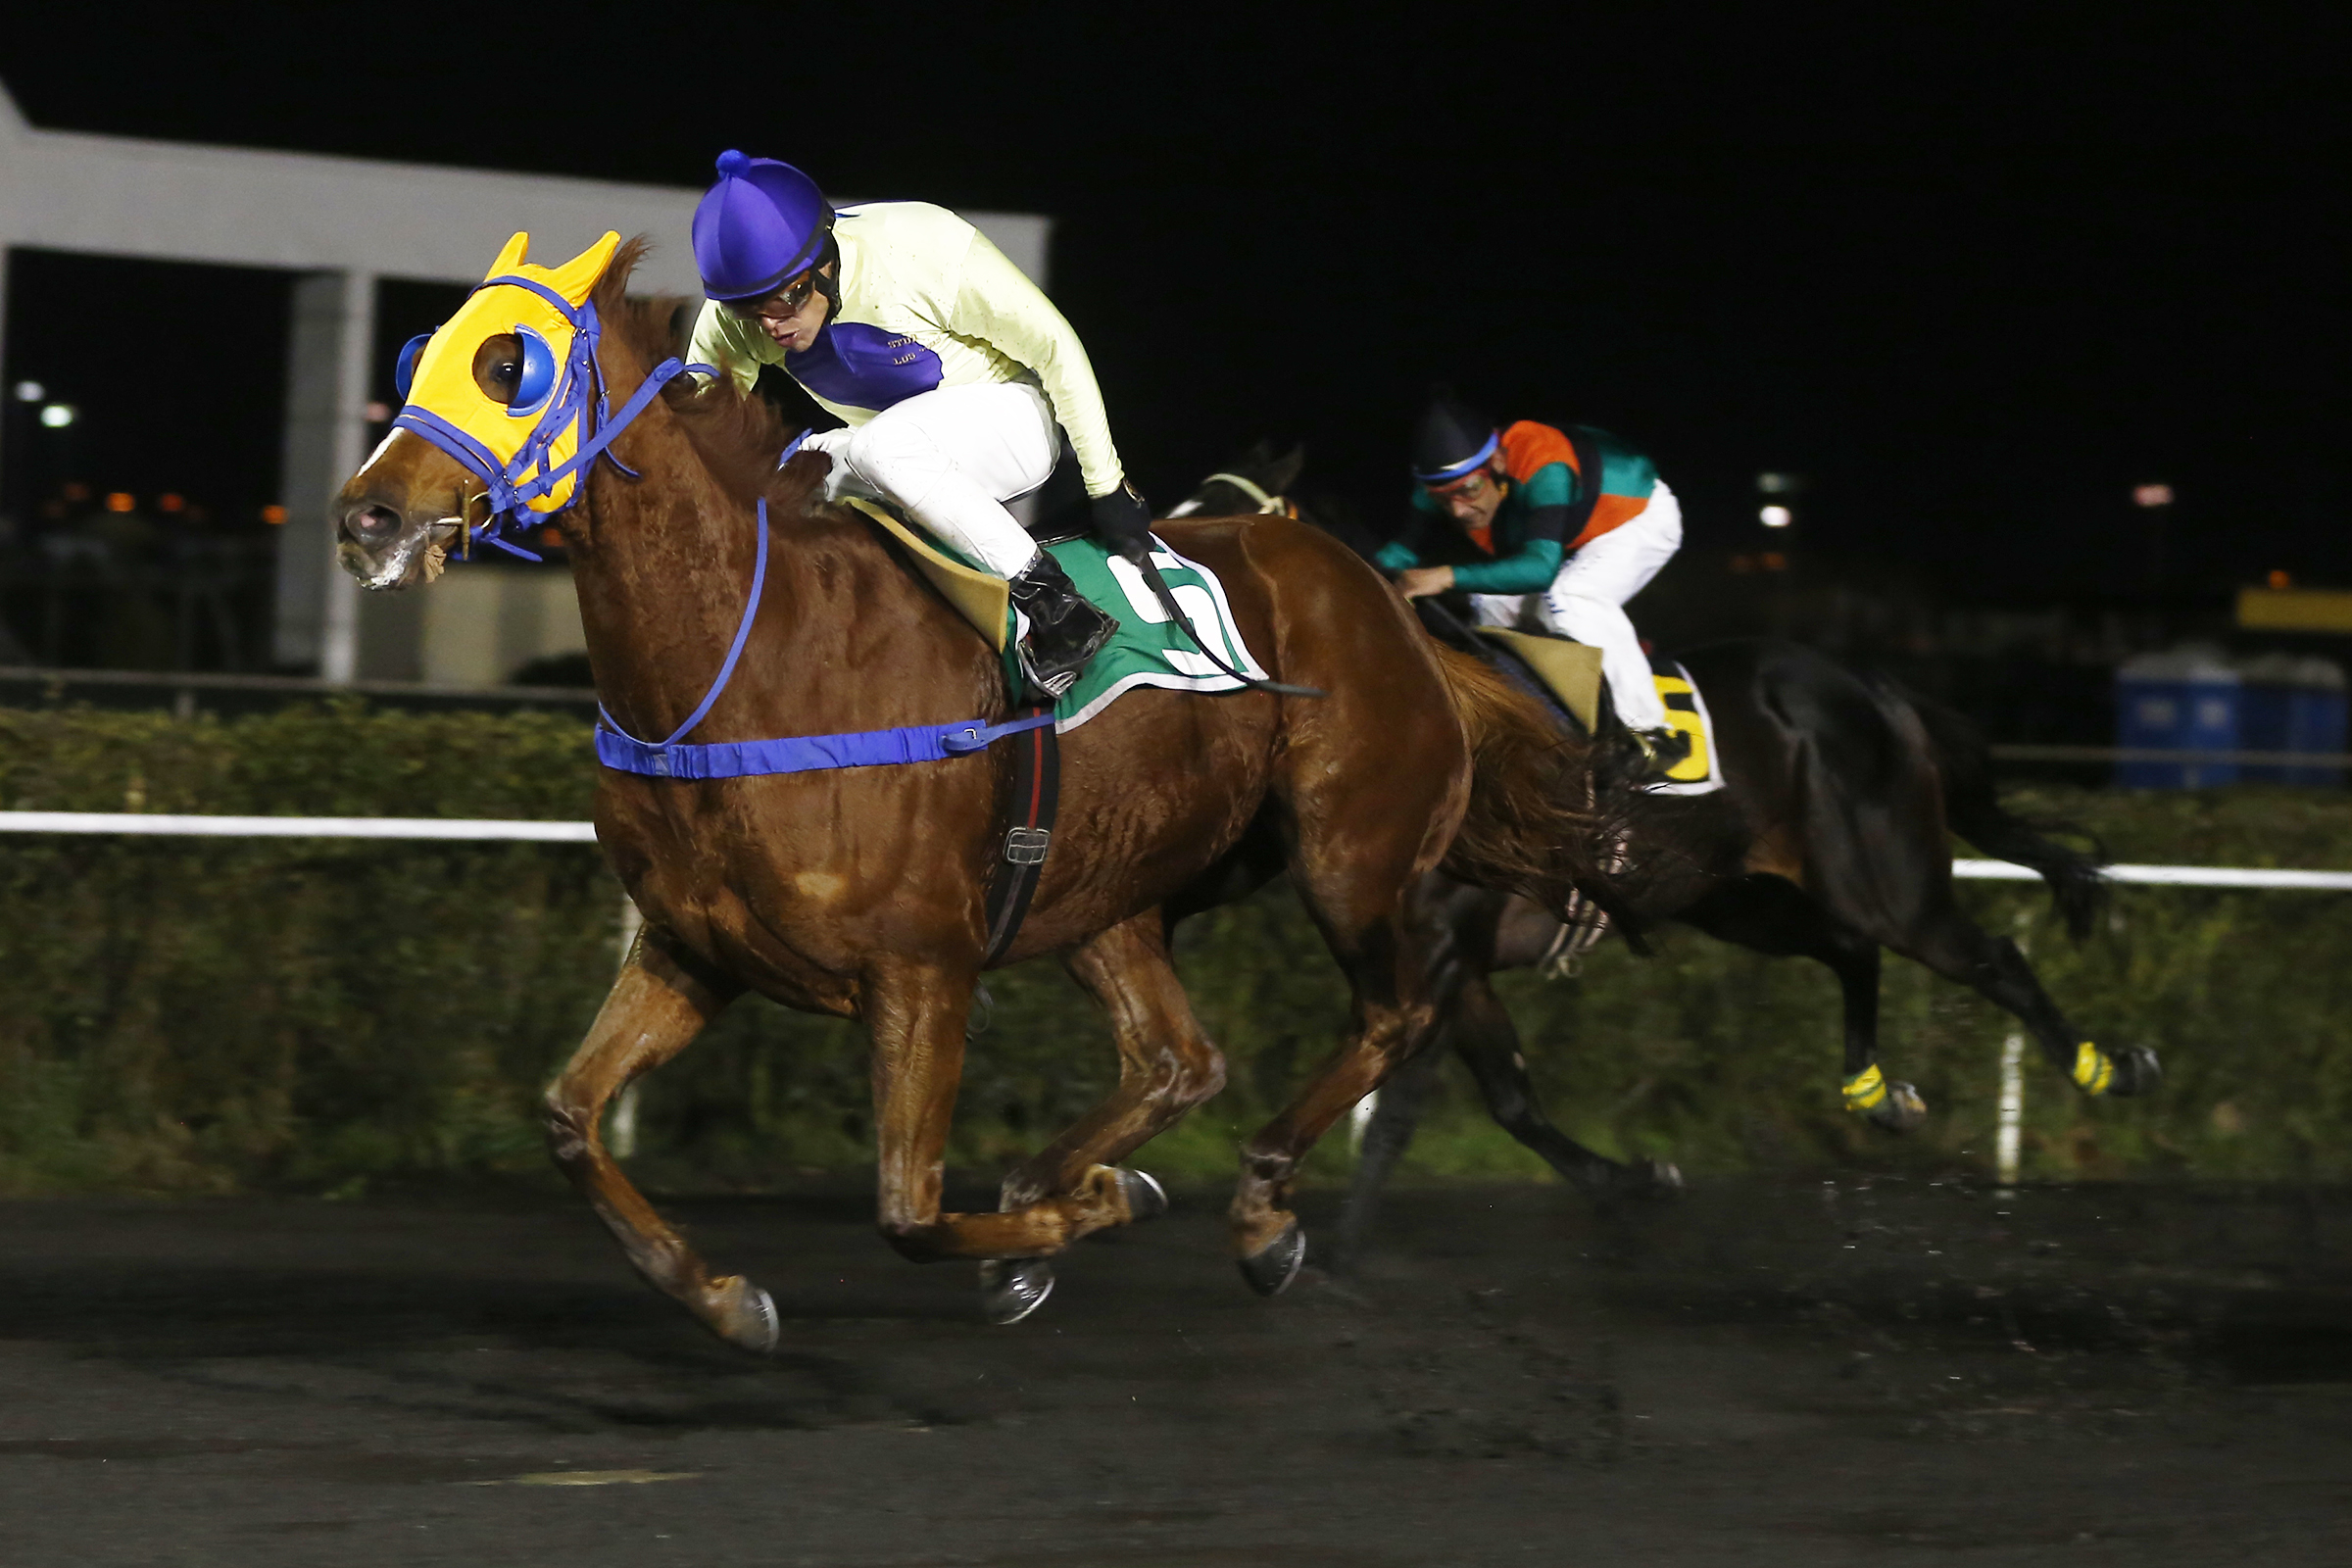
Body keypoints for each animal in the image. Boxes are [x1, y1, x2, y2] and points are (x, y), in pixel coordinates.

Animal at [332, 236, 1610, 1349]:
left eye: (510, 366)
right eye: (420, 353)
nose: (365, 518)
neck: (756, 663)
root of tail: (1389, 604)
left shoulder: (922, 969)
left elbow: (907, 1211)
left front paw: (1089, 1212)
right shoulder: (691, 950)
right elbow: (568, 1118)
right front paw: (724, 1296)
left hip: (1353, 854)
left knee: (1390, 1015)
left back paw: (1254, 1213)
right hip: (1110, 894)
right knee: (1178, 1057)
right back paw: (1078, 1181)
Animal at [1175, 451, 2159, 1260]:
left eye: (1215, 544)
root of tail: (1873, 685)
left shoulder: (1445, 948)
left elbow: (1403, 1110)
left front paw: (1328, 1243)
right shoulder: (1462, 960)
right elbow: (1513, 1102)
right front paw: (1637, 1182)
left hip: (1885, 879)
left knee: (1990, 955)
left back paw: (2110, 1066)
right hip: (1738, 898)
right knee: (1851, 951)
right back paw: (1876, 1093)